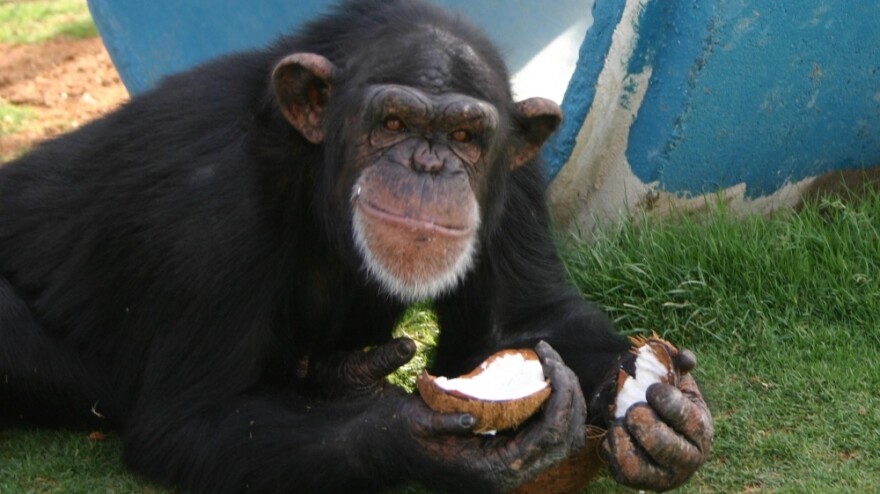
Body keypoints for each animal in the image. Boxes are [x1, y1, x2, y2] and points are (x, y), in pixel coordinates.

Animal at [0, 0, 712, 494]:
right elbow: (188, 419)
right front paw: (428, 445)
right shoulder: (208, 198)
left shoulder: (516, 169)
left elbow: (527, 321)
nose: (428, 164)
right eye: (392, 122)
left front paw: (664, 414)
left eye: (464, 135)